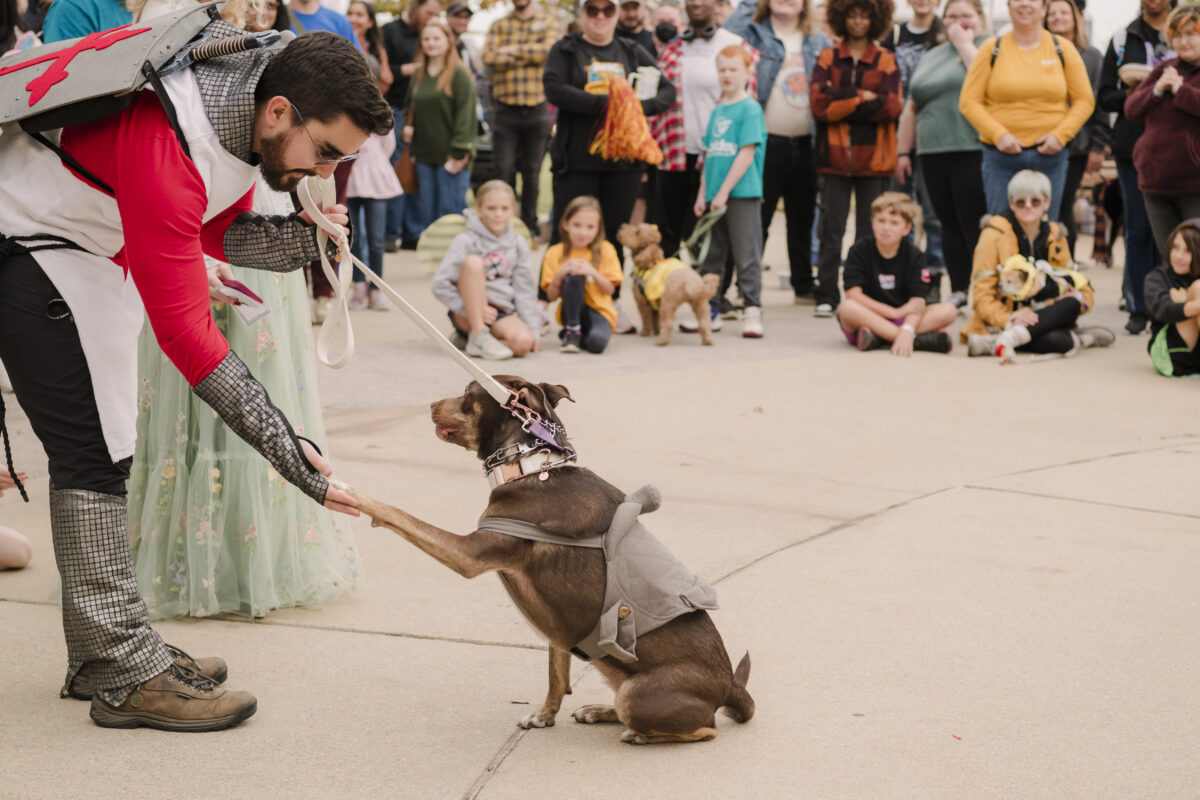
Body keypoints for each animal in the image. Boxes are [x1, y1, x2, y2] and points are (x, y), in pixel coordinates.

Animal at [350, 379, 753, 748]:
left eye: (467, 392)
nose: (431, 403)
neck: (529, 467)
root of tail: (730, 686)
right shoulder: (559, 627)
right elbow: (556, 675)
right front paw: (544, 717)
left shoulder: (468, 554)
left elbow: (399, 514)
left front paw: (353, 495)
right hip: (619, 674)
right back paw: (599, 711)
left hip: (637, 695)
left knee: (704, 728)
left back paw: (639, 733)